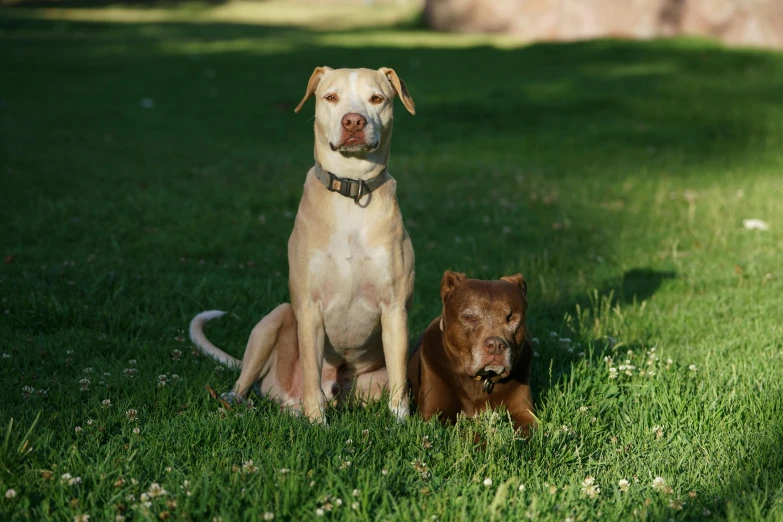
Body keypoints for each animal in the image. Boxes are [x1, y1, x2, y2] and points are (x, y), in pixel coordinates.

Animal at [189, 66, 416, 422]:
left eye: (377, 98)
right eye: (331, 97)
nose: (353, 121)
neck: (351, 192)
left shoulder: (394, 310)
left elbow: (398, 378)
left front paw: (401, 423)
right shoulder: (308, 309)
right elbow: (311, 370)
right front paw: (317, 423)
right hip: (274, 320)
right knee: (247, 379)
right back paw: (239, 400)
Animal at [408, 270, 536, 432]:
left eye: (510, 317)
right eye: (469, 317)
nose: (495, 345)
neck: (479, 381)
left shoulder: (524, 413)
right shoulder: (433, 416)